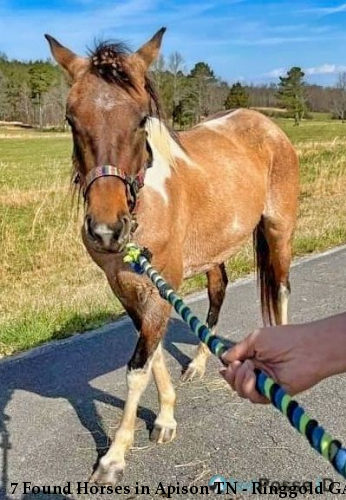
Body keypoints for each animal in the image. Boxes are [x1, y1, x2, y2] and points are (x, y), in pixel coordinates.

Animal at [45, 27, 300, 484]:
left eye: (140, 119)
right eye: (72, 119)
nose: (106, 230)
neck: (145, 205)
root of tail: (268, 125)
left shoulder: (161, 286)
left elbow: (138, 367)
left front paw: (115, 456)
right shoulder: (128, 288)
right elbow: (155, 353)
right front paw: (164, 418)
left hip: (278, 229)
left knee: (282, 288)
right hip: (216, 249)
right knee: (217, 294)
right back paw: (198, 364)